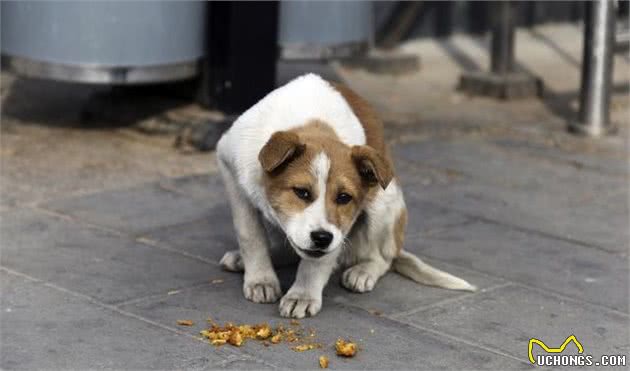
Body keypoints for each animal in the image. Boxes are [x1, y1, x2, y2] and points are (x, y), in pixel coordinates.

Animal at [216, 74, 474, 318]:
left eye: (343, 198)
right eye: (302, 192)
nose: (322, 238)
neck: (314, 120)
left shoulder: (344, 224)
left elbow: (318, 261)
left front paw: (303, 295)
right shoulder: (231, 168)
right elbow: (250, 235)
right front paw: (261, 279)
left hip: (383, 202)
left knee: (383, 258)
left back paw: (363, 271)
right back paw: (245, 259)